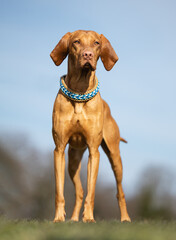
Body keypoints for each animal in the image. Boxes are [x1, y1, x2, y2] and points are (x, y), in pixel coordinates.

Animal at [49, 30, 131, 223]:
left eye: (96, 43)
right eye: (76, 42)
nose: (88, 55)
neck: (80, 91)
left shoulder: (94, 152)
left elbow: (91, 191)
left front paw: (88, 218)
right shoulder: (59, 150)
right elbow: (59, 191)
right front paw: (58, 218)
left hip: (115, 158)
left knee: (120, 191)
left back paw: (125, 219)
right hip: (73, 160)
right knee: (79, 191)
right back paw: (73, 219)